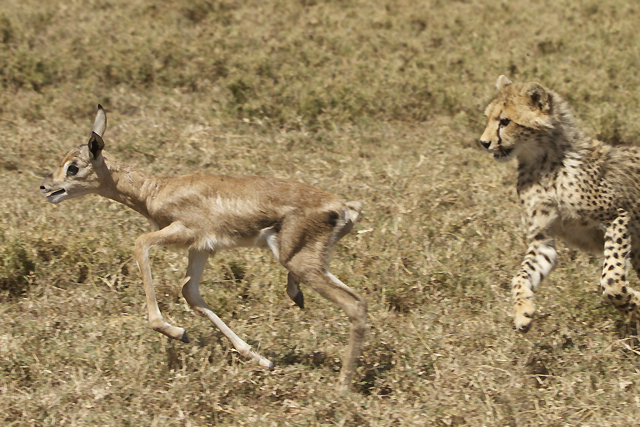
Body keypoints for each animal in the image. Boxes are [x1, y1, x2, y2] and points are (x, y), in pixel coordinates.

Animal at [478, 76, 640, 332]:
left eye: (505, 121)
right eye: (488, 118)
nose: (484, 142)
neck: (542, 163)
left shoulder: (618, 216)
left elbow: (612, 279)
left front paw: (633, 304)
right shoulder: (542, 238)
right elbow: (522, 275)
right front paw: (523, 310)